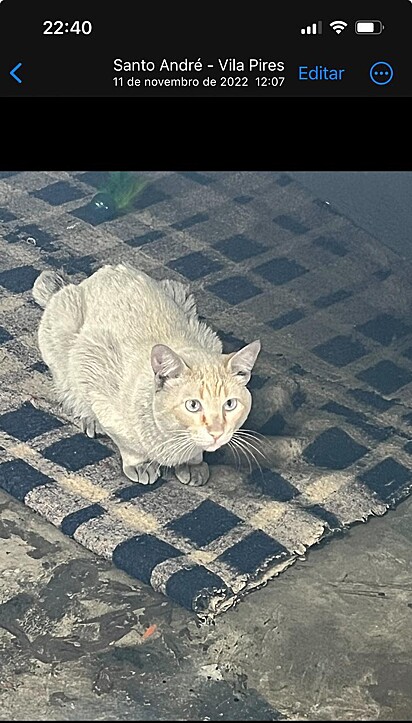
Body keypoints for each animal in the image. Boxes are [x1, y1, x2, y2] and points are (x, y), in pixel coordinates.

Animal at [34, 264, 260, 486]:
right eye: (193, 405)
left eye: (229, 404)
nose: (216, 433)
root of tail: (103, 271)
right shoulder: (95, 378)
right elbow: (129, 447)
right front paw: (141, 466)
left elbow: (196, 454)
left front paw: (192, 465)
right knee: (73, 394)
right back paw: (91, 420)